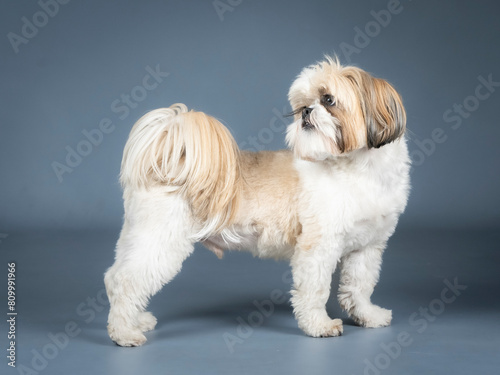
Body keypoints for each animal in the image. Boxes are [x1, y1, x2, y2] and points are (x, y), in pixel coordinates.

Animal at [103, 57, 408, 348]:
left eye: (328, 100)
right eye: (302, 105)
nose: (306, 112)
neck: (360, 170)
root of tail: (166, 164)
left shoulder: (367, 248)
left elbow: (360, 287)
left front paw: (368, 315)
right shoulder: (318, 248)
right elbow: (315, 291)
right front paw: (319, 326)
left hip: (137, 237)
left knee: (114, 277)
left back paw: (136, 320)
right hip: (161, 240)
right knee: (126, 282)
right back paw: (124, 333)